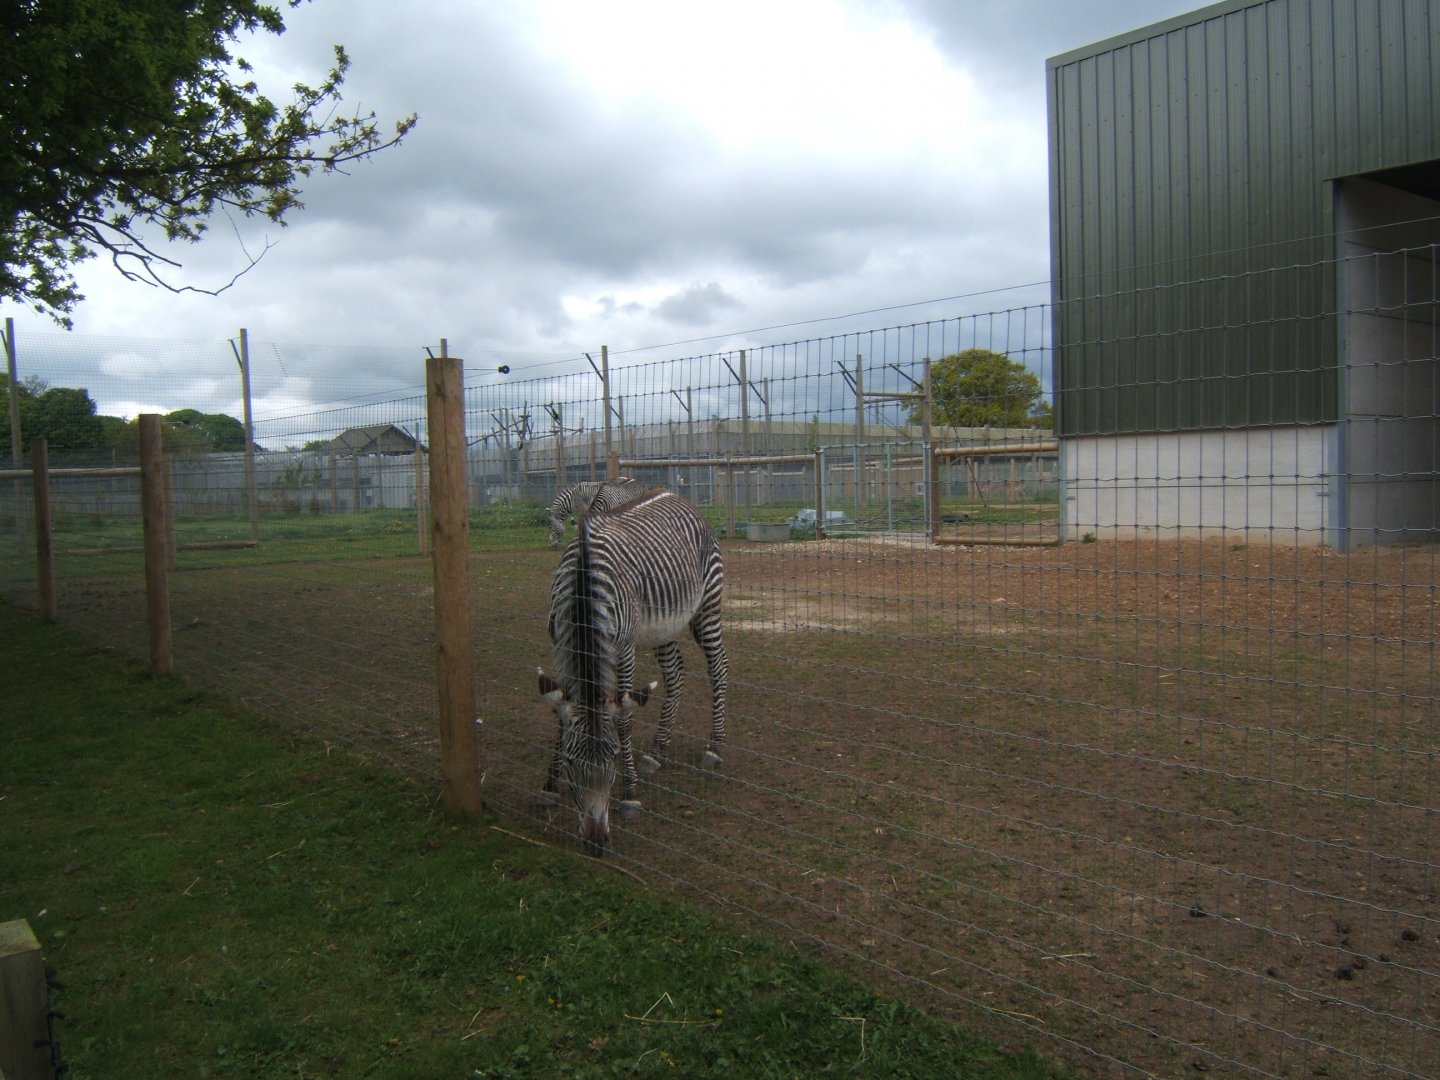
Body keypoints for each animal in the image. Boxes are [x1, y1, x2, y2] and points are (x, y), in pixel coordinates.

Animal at [536, 488, 728, 855]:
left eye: (612, 760)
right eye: (570, 761)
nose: (596, 845)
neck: (583, 584)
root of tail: (675, 495)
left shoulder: (623, 648)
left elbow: (623, 719)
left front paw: (630, 796)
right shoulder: (561, 645)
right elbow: (560, 712)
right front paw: (549, 787)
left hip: (707, 606)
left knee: (719, 667)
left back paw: (715, 747)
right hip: (661, 627)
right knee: (676, 673)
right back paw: (656, 752)